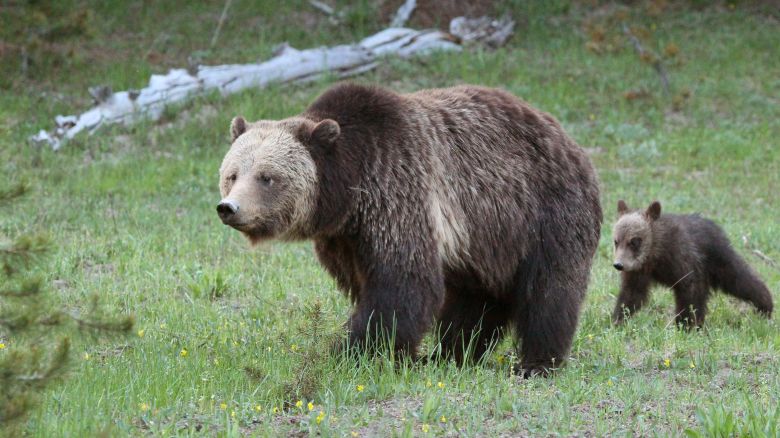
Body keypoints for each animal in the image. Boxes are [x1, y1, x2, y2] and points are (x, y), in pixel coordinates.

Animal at [219, 83, 604, 376]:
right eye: (233, 174)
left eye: (267, 177)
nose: (229, 208)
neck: (349, 191)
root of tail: (566, 137)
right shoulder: (344, 239)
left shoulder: (398, 191)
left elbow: (402, 283)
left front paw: (355, 352)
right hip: (486, 240)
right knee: (475, 299)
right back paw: (451, 354)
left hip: (543, 212)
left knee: (549, 290)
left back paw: (536, 363)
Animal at [616, 200, 772, 326]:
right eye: (616, 241)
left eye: (634, 241)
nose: (618, 264)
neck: (656, 254)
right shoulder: (639, 270)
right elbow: (631, 294)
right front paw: (618, 320)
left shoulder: (684, 261)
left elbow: (690, 294)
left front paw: (686, 324)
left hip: (719, 260)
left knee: (739, 279)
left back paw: (765, 306)